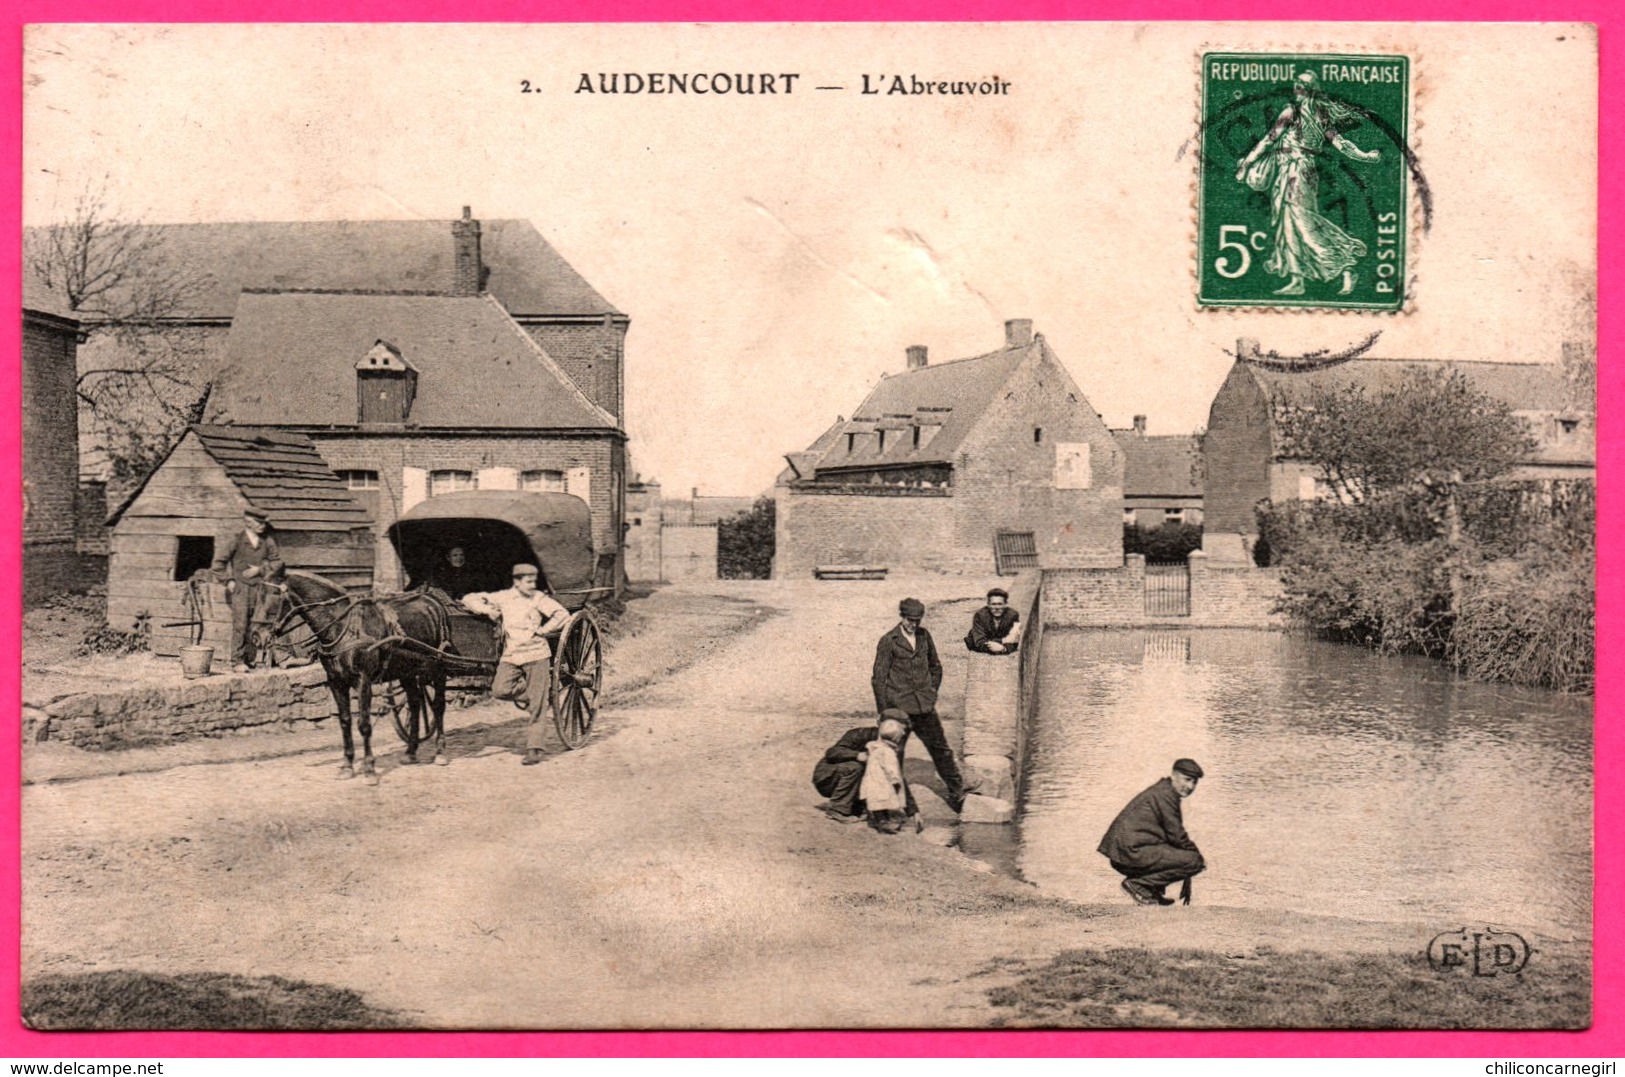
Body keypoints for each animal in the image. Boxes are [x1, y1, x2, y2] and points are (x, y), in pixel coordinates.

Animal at [279, 571, 455, 782]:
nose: (263, 634)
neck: (342, 628)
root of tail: (432, 600)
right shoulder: (336, 682)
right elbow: (345, 721)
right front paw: (347, 765)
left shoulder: (363, 681)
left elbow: (363, 723)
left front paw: (369, 768)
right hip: (408, 671)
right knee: (414, 703)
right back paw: (411, 751)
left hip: (438, 667)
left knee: (438, 706)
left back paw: (440, 752)